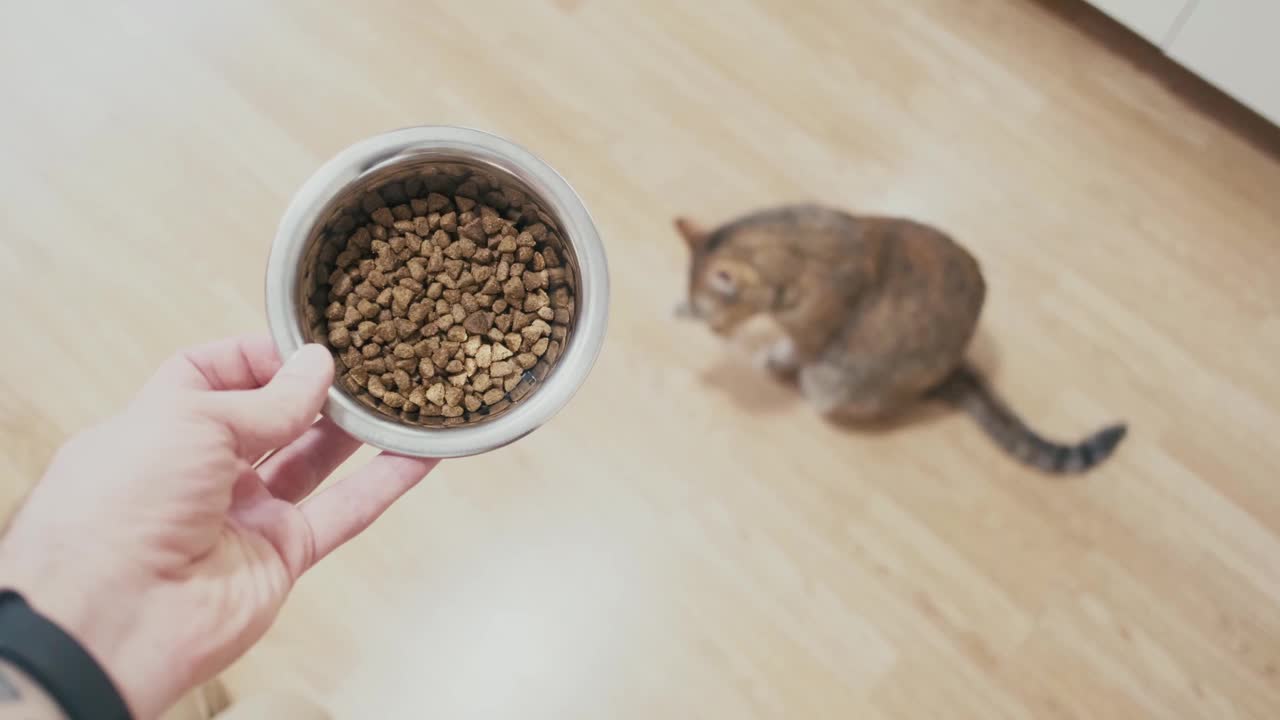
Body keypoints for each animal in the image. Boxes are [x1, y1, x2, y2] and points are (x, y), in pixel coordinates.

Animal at [675, 203, 1126, 471]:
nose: (714, 331)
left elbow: (794, 349)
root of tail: (955, 366)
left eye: (717, 323)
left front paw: (772, 358)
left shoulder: (816, 335)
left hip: (839, 383)